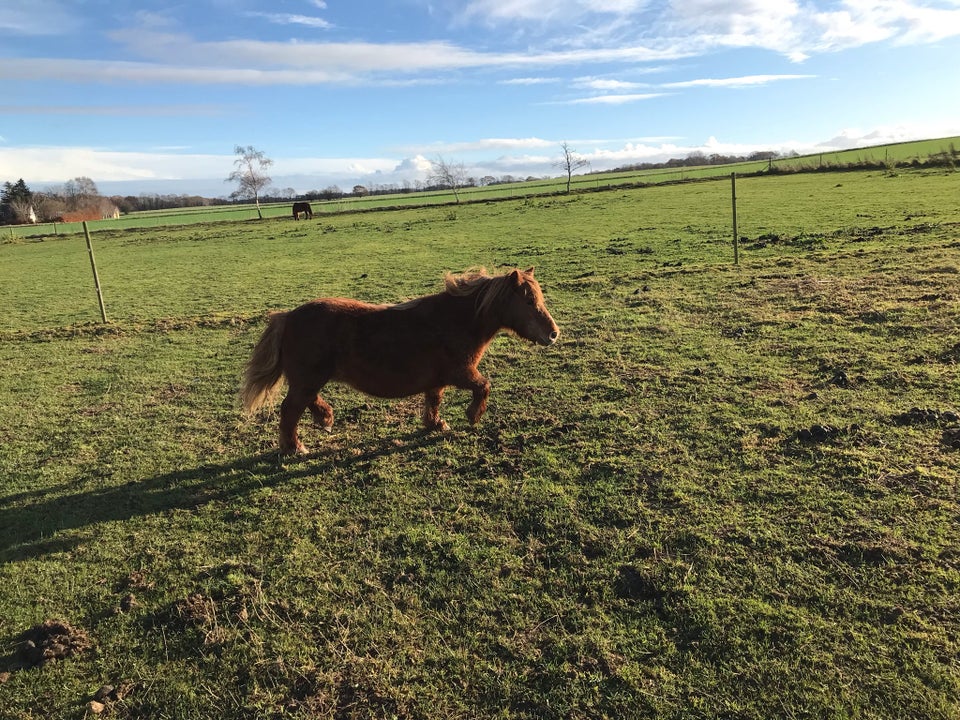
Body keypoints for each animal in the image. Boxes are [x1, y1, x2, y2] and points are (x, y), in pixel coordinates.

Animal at [242, 268, 564, 452]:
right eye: (529, 301)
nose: (553, 334)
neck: (456, 320)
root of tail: (288, 317)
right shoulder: (462, 372)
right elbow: (483, 386)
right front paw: (473, 416)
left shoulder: (438, 379)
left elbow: (434, 400)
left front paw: (435, 424)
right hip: (307, 381)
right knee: (290, 410)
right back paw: (295, 447)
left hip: (309, 380)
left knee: (305, 403)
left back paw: (325, 419)